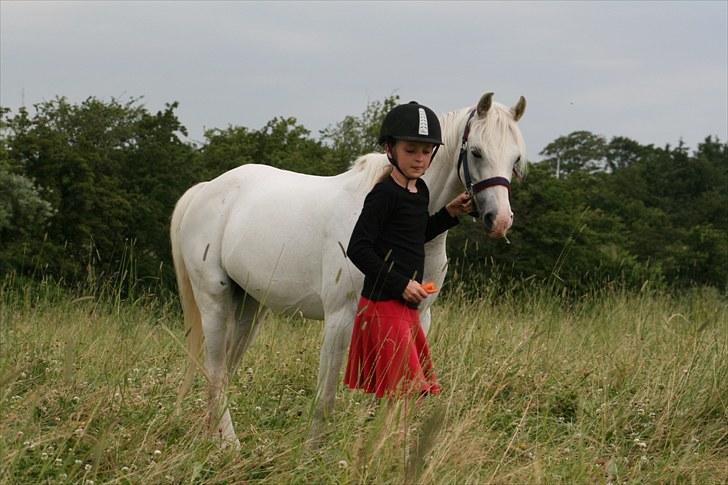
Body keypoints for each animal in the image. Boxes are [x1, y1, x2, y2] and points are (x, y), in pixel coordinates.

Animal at [170, 92, 527, 447]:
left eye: (515, 159)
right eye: (477, 151)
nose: (500, 220)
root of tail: (206, 190)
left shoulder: (417, 317)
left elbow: (399, 389)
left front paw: (385, 448)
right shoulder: (340, 318)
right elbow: (326, 397)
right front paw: (313, 451)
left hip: (249, 305)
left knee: (224, 368)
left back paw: (212, 436)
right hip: (214, 302)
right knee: (216, 370)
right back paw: (230, 444)